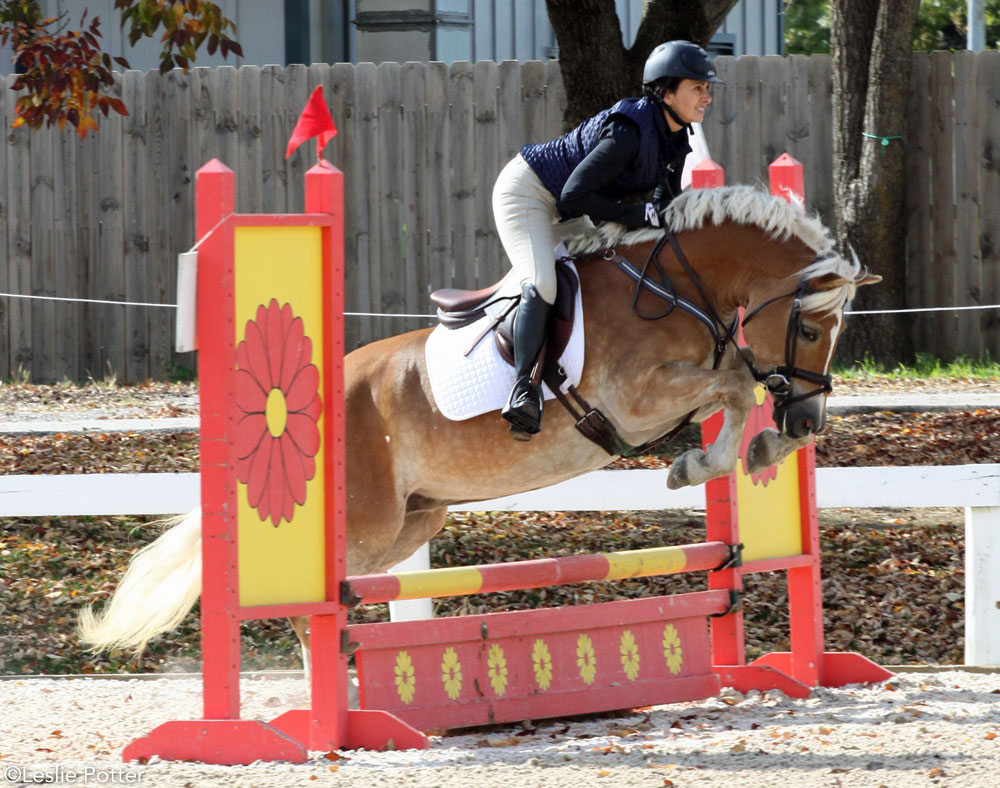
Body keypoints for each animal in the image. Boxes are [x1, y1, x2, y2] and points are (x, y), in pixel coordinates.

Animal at [76, 185, 876, 672]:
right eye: (810, 327)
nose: (807, 416)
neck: (674, 282)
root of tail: (328, 391)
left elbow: (736, 388)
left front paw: (759, 448)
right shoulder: (636, 400)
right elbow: (736, 385)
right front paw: (709, 462)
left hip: (412, 522)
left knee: (342, 596)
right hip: (366, 522)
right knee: (315, 609)